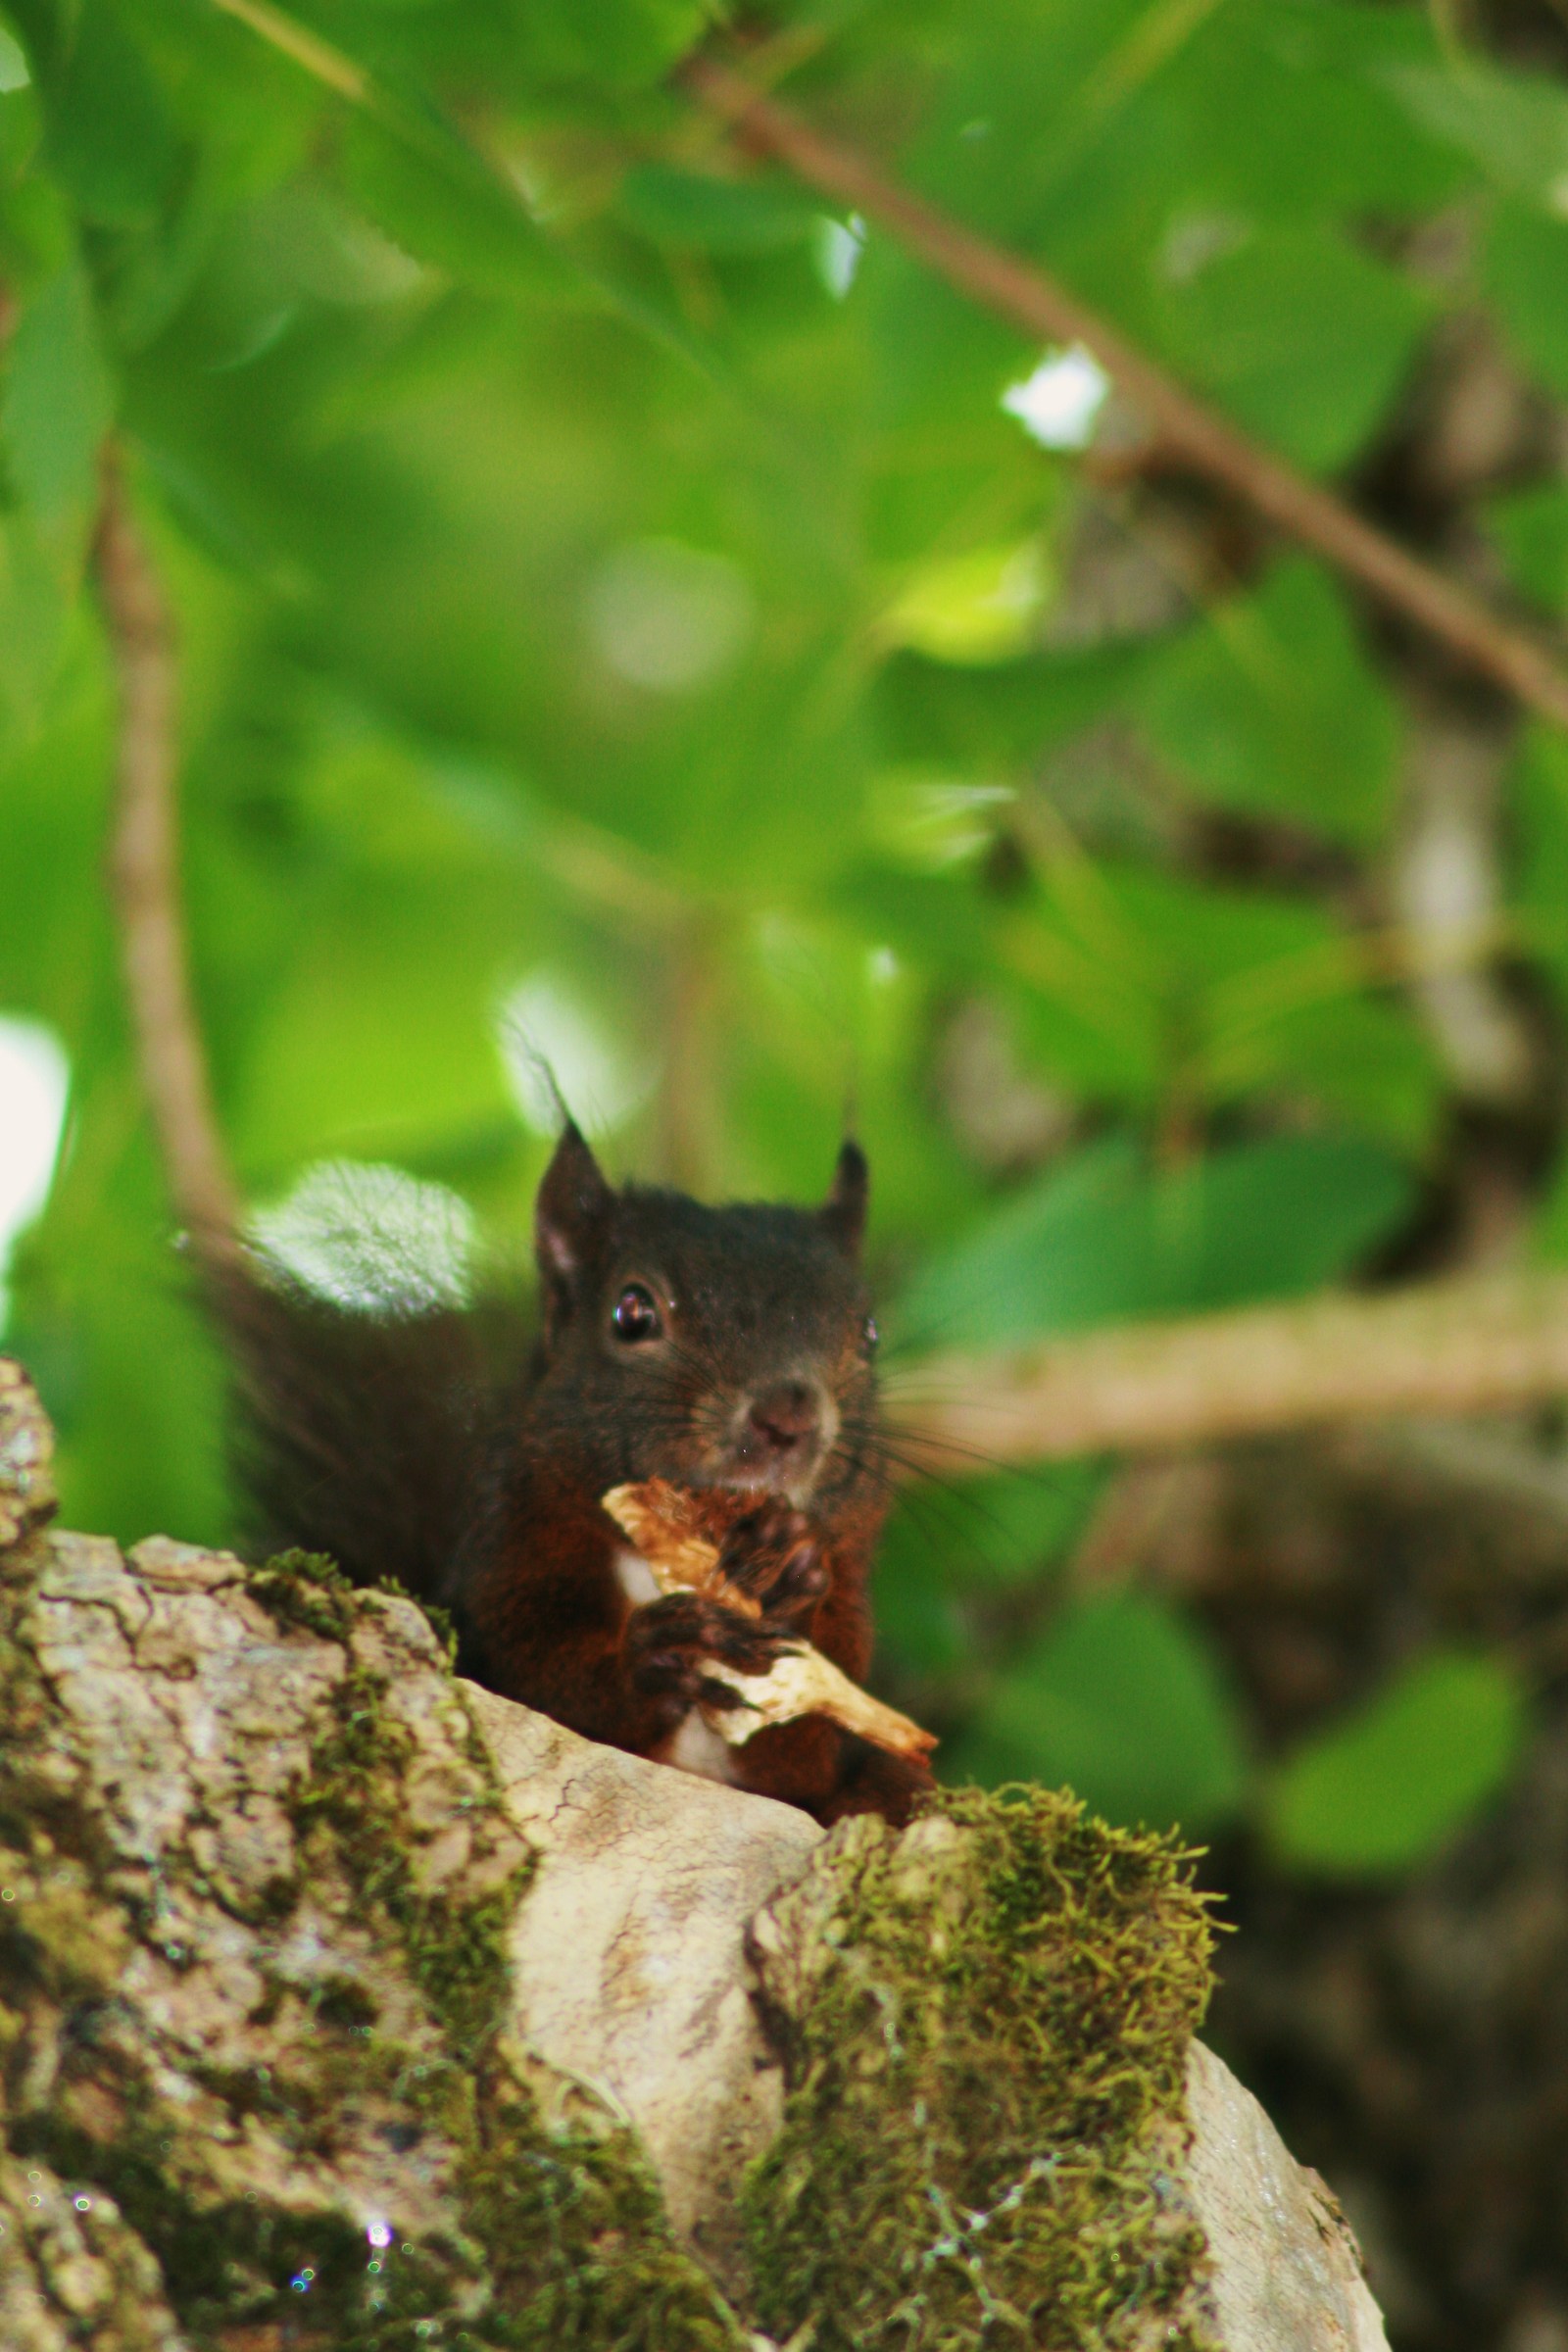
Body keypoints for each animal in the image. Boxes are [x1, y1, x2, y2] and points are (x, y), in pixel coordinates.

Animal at [215, 1122, 932, 1827]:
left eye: (869, 1333)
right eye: (632, 1312)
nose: (788, 1419)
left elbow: (806, 1764)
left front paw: (789, 1564)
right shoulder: (511, 1554)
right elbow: (545, 1685)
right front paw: (652, 1654)